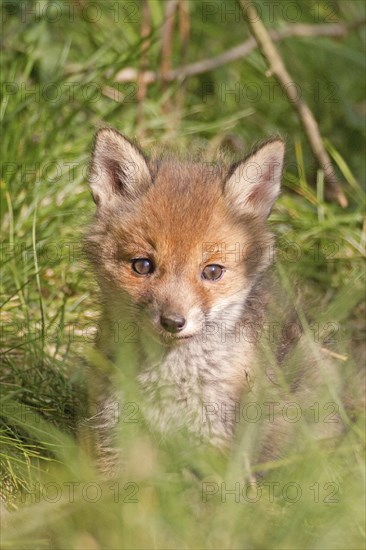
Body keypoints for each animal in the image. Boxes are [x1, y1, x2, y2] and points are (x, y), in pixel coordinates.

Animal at [84, 129, 342, 478]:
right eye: (142, 265)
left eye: (213, 271)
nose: (173, 322)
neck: (168, 384)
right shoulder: (113, 435)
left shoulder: (216, 446)